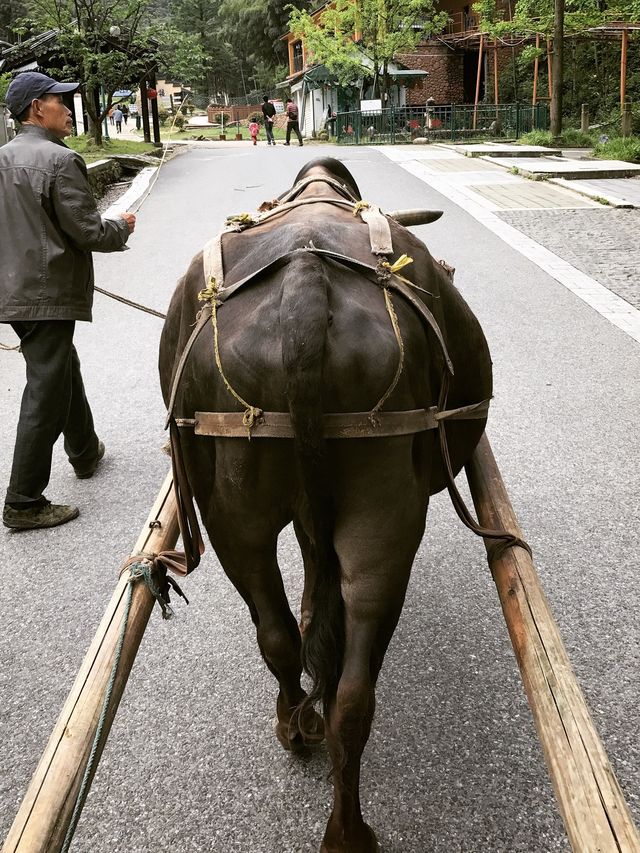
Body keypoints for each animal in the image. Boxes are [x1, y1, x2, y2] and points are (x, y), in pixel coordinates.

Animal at [158, 156, 492, 848]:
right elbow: (317, 577)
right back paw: (338, 809)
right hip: (365, 505)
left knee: (287, 637)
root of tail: (305, 287)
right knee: (340, 674)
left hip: (255, 515)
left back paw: (302, 736)